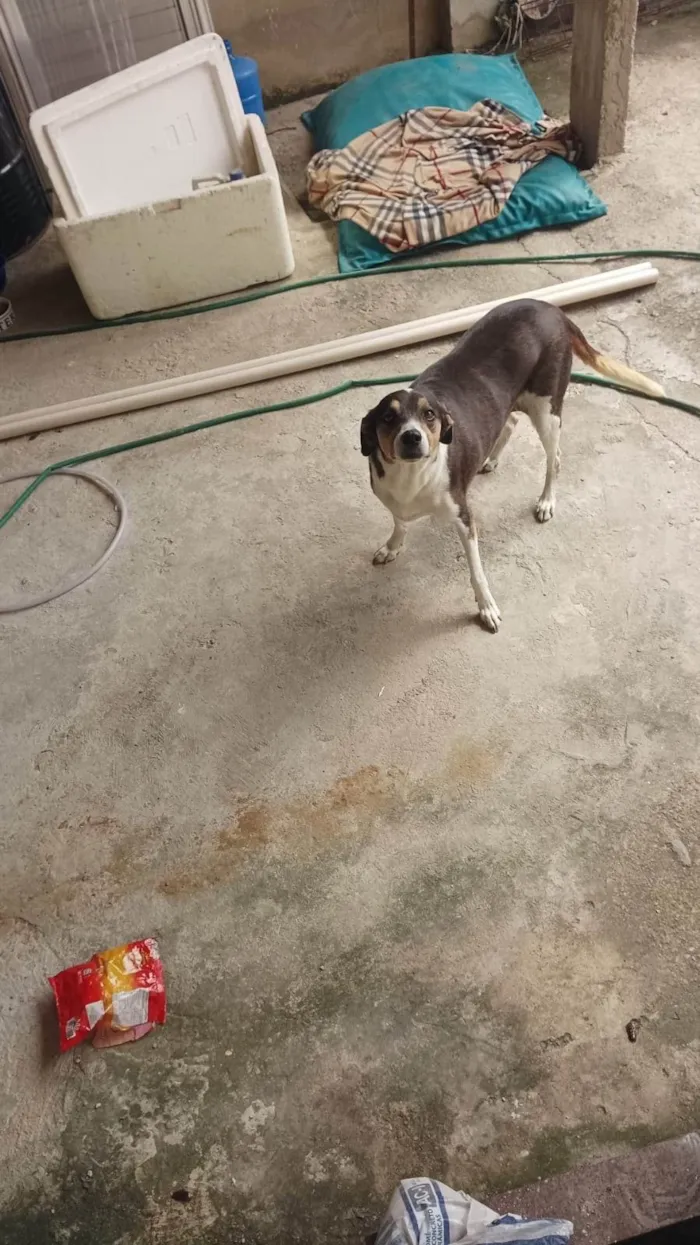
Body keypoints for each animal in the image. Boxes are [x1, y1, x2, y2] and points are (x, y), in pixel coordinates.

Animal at [358, 296, 657, 632]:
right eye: (388, 417)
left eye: (429, 415)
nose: (411, 437)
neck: (411, 475)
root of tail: (551, 308)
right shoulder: (392, 499)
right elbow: (399, 521)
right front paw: (393, 545)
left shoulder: (464, 518)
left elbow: (476, 572)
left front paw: (486, 607)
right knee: (511, 422)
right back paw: (491, 459)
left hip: (547, 410)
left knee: (555, 458)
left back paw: (546, 500)